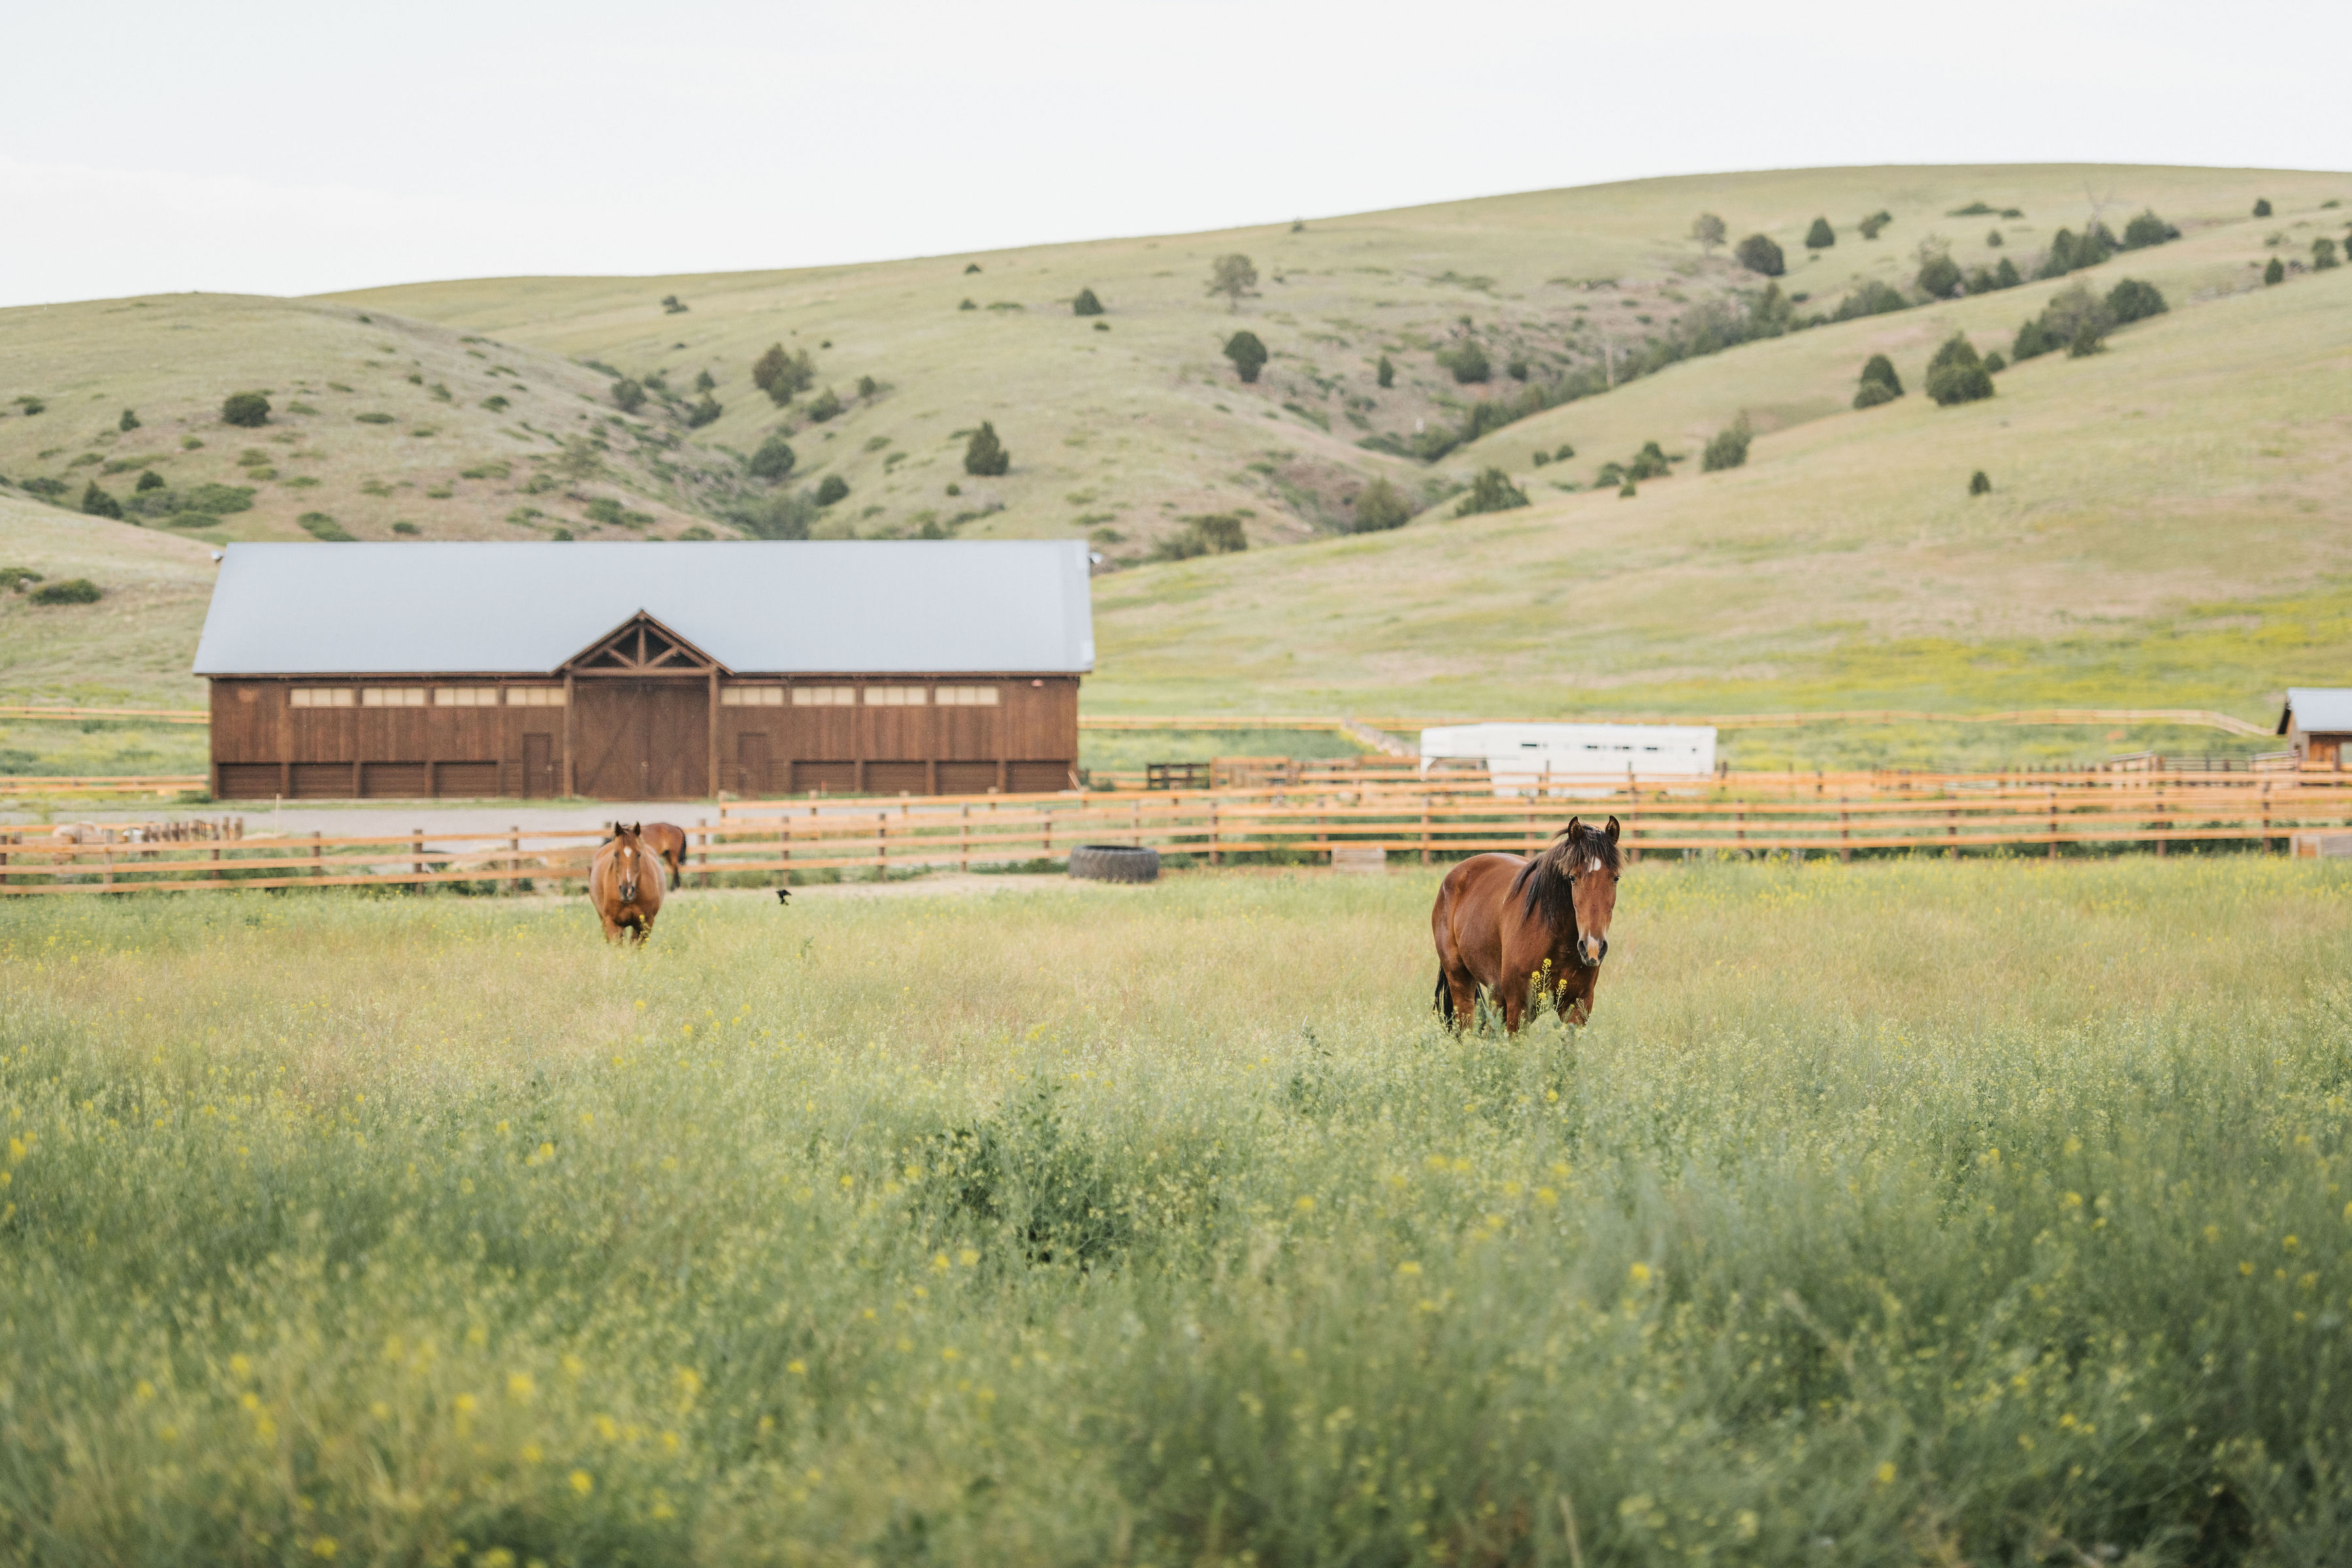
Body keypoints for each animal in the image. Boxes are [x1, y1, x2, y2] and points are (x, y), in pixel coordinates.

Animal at [1431, 815, 1620, 1033]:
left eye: (1616, 878)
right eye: (1572, 877)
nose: (1593, 948)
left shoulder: (1578, 1007)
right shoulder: (1519, 1005)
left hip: (1497, 995)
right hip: (1461, 982)